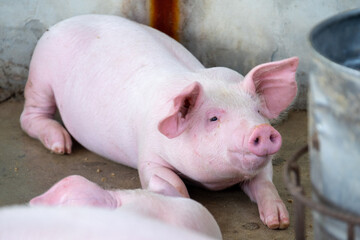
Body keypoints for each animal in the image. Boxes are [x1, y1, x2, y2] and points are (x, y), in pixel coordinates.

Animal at [20, 14, 298, 230]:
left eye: (258, 111)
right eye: (213, 118)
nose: (262, 130)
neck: (213, 182)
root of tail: (60, 24)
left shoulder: (262, 165)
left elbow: (264, 182)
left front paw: (279, 222)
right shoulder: (149, 156)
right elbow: (170, 181)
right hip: (40, 74)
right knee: (30, 115)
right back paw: (61, 145)